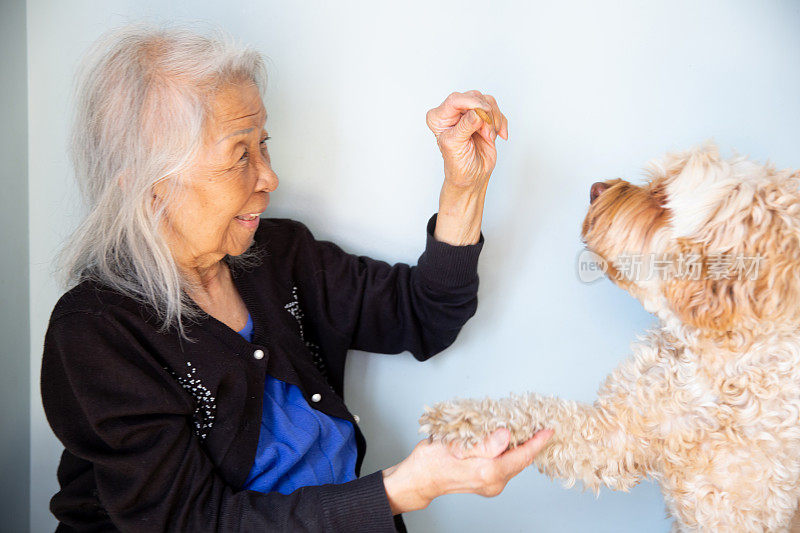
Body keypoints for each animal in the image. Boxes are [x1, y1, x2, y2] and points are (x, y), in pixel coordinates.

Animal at [418, 142, 800, 532]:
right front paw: (462, 417)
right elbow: (545, 412)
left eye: (662, 198)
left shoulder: (735, 511)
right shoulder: (617, 433)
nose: (596, 187)